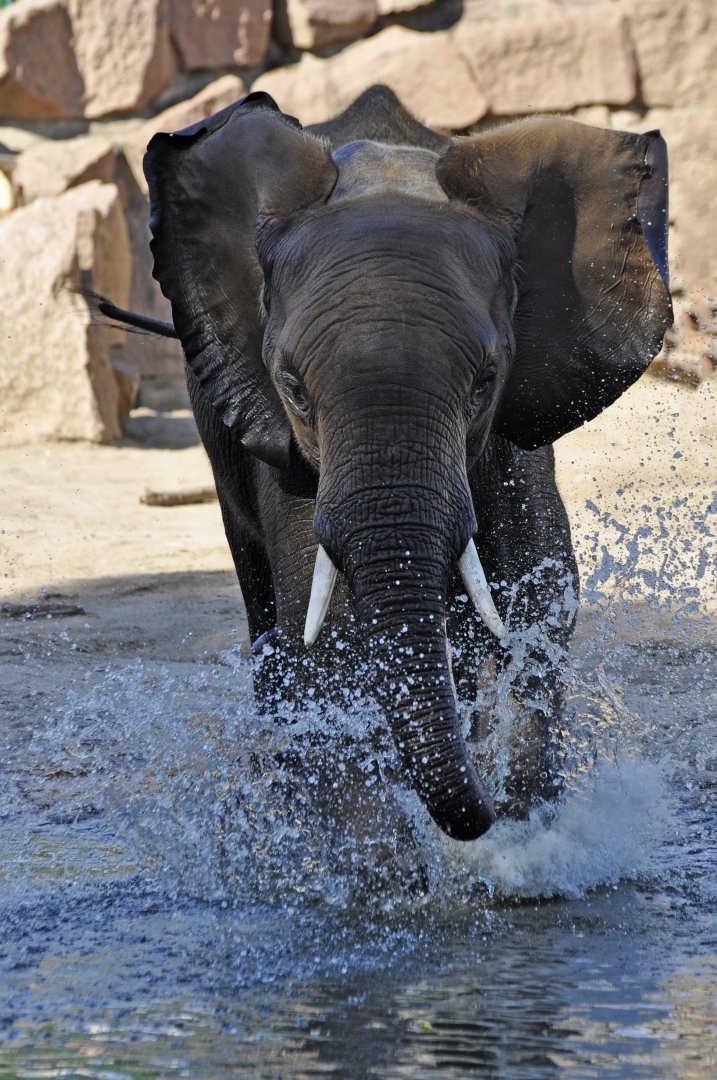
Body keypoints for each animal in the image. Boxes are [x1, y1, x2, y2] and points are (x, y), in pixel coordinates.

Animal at [104, 85, 671, 842]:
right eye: (292, 387)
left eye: (485, 382)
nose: (482, 817)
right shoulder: (294, 460)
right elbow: (335, 645)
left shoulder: (515, 450)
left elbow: (541, 606)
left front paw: (528, 830)